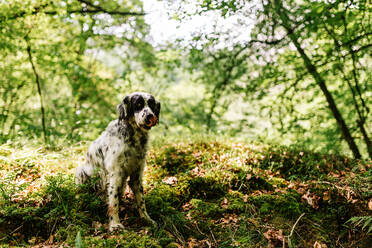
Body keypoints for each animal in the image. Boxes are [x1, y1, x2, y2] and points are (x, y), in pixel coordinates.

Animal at [75, 92, 160, 232]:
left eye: (151, 104)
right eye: (138, 104)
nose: (150, 116)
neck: (134, 138)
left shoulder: (137, 175)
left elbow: (141, 201)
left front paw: (147, 219)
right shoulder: (115, 174)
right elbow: (113, 202)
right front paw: (115, 224)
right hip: (81, 171)